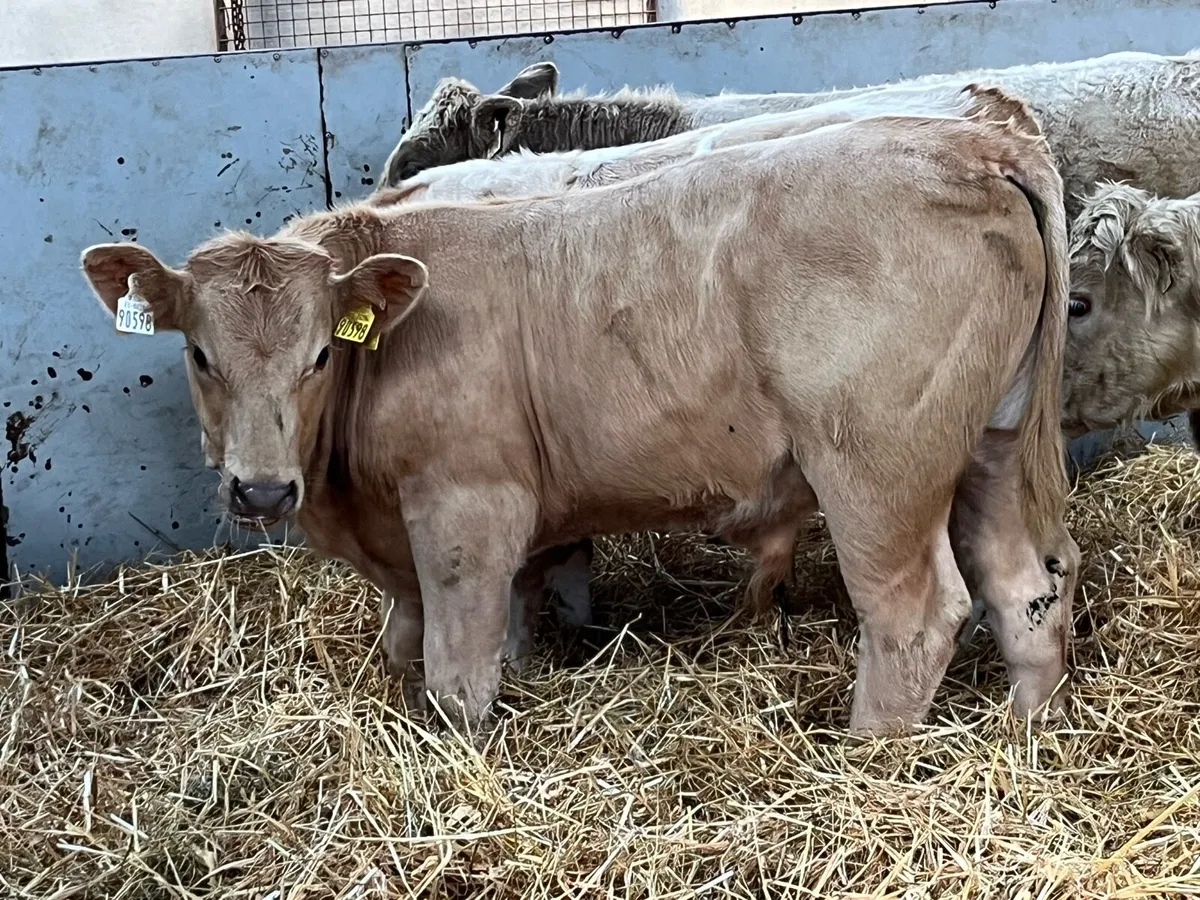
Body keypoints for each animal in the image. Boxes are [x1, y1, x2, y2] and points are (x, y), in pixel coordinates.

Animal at [81, 105, 1078, 735]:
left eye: (321, 354)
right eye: (199, 355)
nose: (258, 489)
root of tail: (971, 144)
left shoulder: (470, 505)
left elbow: (456, 669)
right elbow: (448, 635)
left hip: (876, 470)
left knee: (915, 613)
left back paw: (866, 752)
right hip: (988, 442)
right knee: (1025, 586)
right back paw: (1023, 730)